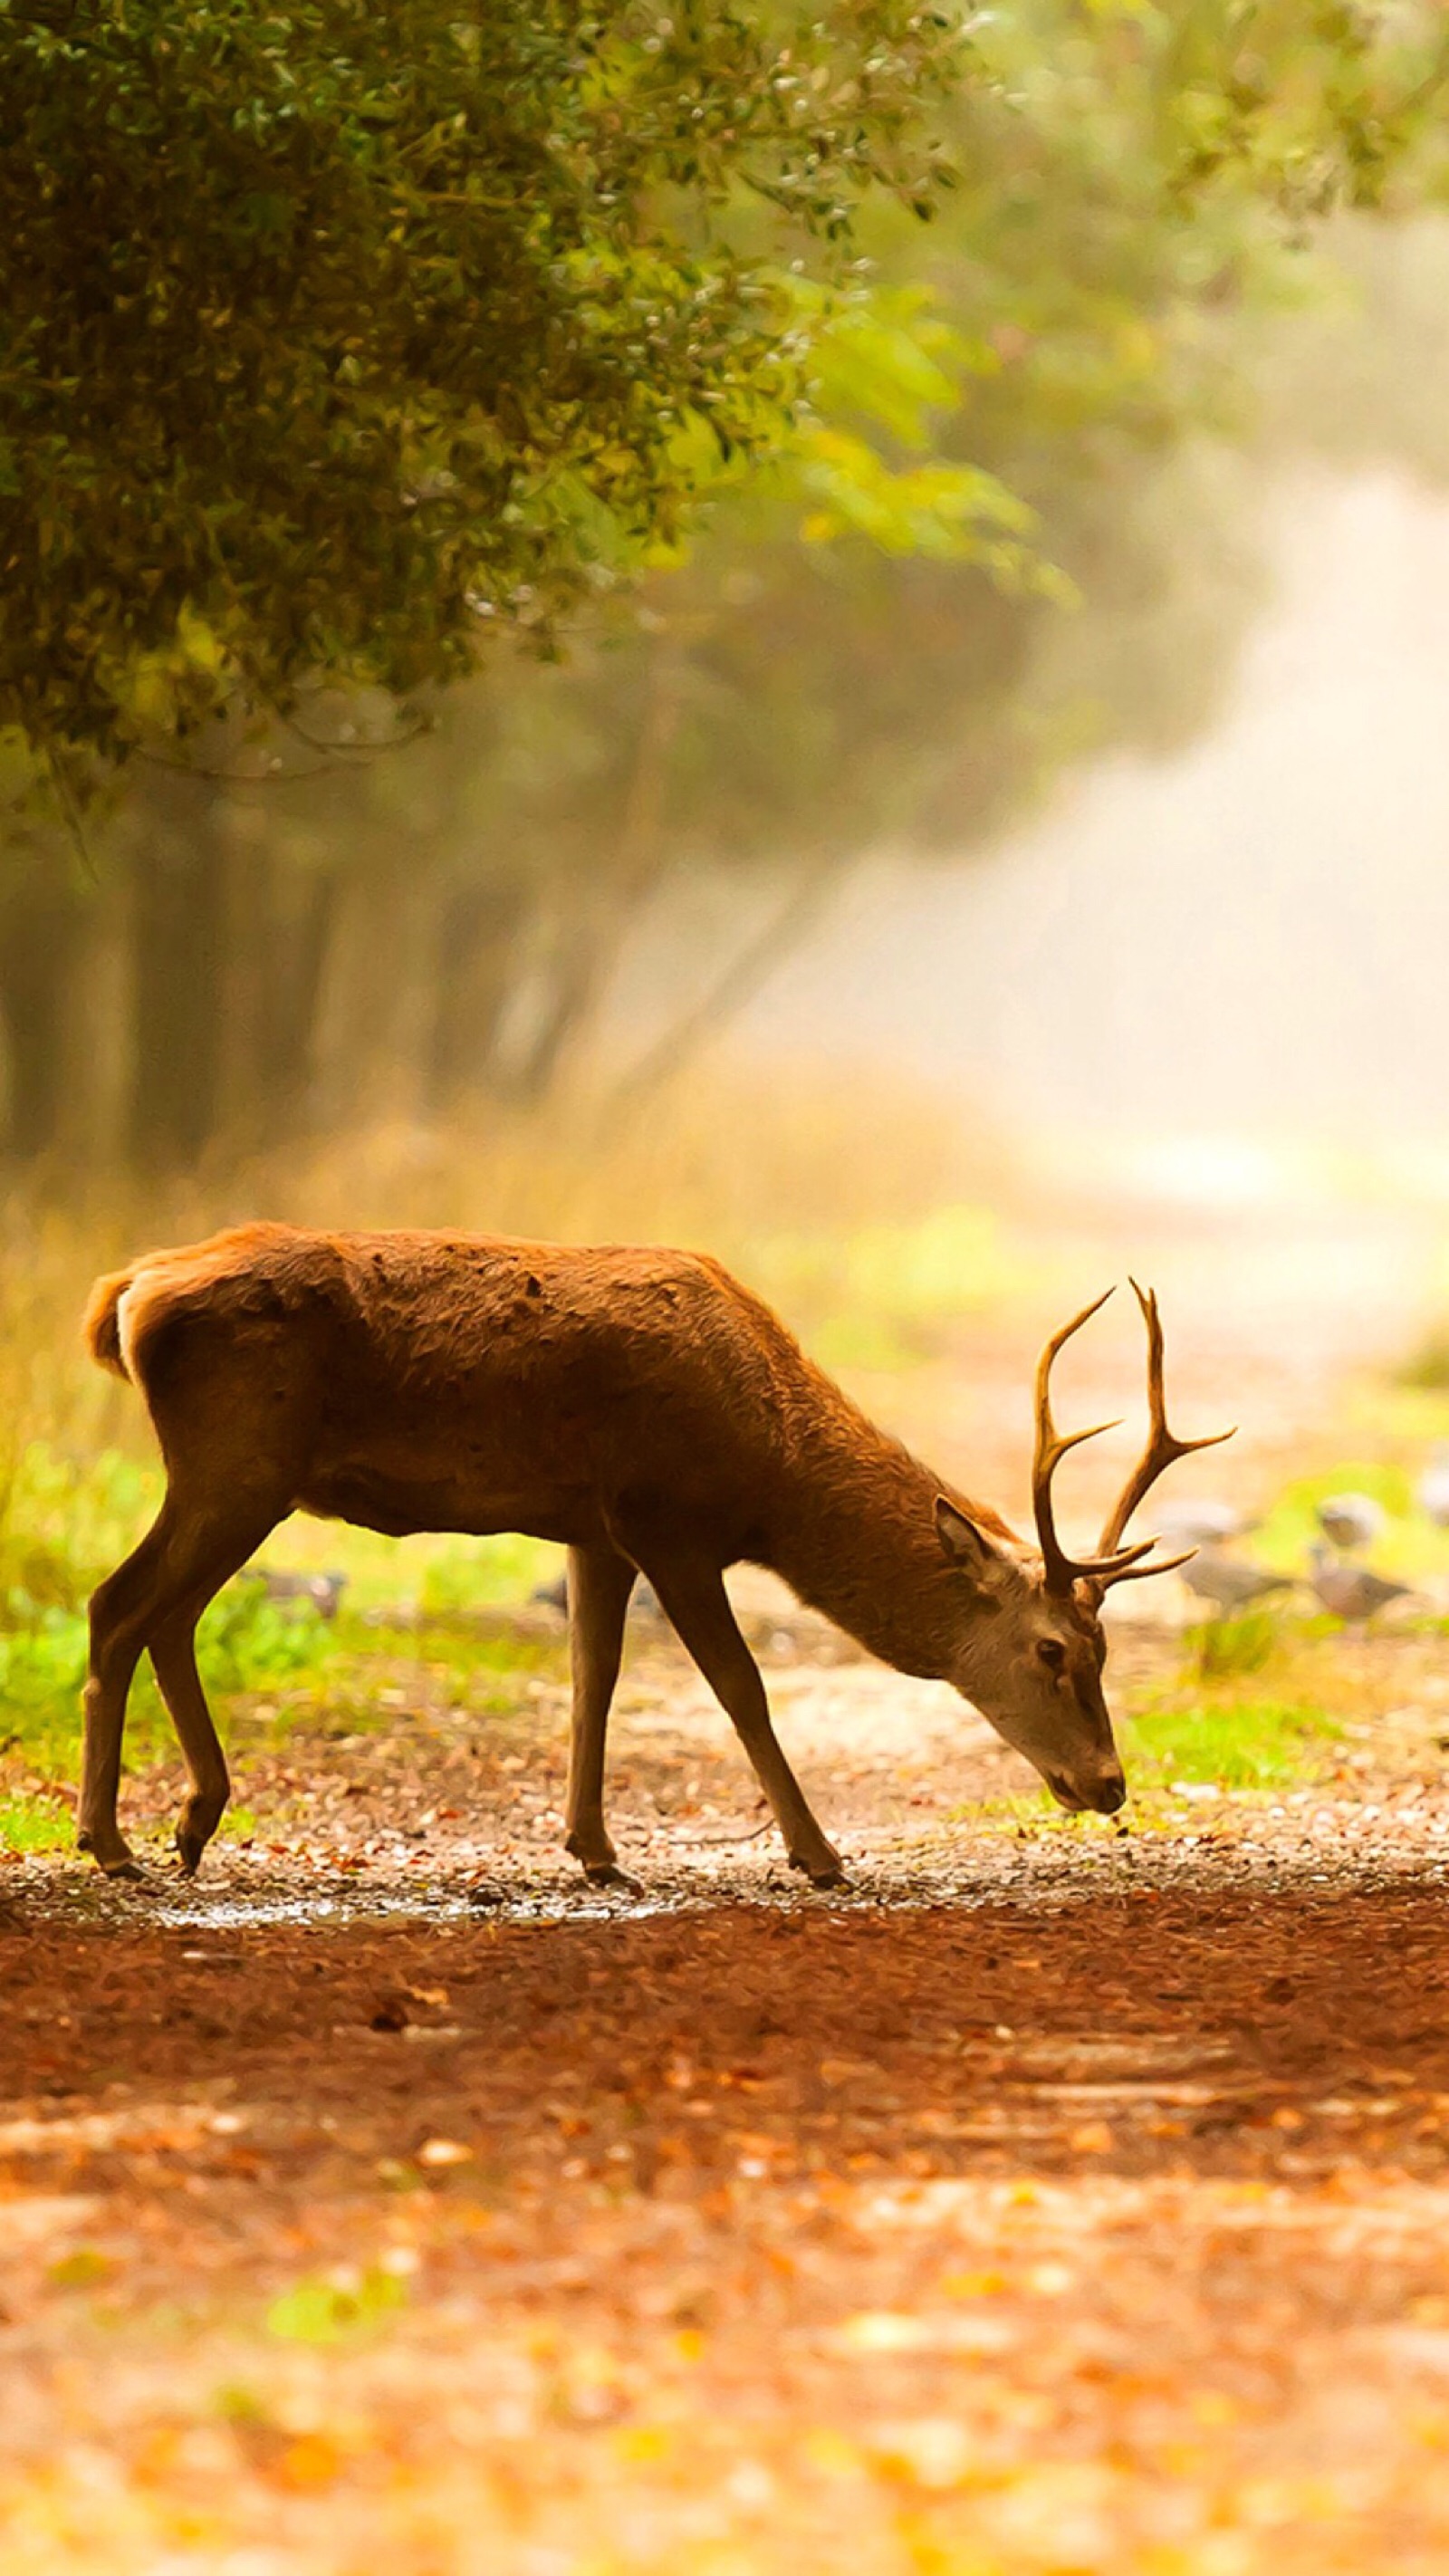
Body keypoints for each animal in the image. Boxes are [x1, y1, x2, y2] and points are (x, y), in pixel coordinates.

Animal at [79, 1216, 1230, 1885]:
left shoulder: (594, 1530)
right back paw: (113, 1840)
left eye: (1108, 1651)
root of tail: (128, 1294)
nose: (1110, 1783)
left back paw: (191, 1823)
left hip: (238, 1474)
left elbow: (592, 1677)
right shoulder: (667, 1519)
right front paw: (818, 1855)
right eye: (1054, 1650)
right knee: (121, 1605)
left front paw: (595, 1853)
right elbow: (740, 1687)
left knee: (158, 1612)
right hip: (239, 1458)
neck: (768, 1472)